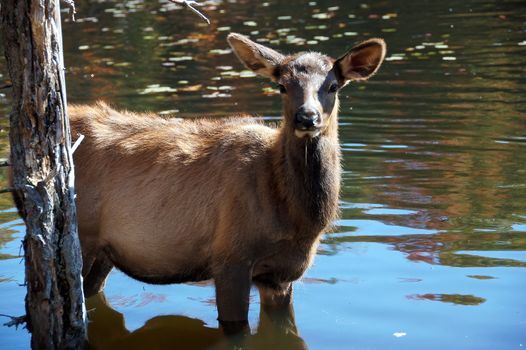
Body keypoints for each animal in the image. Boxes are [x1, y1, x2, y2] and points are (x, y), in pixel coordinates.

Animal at [32, 33, 388, 330]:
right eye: (282, 86)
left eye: (333, 86)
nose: (307, 117)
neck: (298, 220)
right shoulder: (230, 257)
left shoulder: (281, 276)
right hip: (80, 235)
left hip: (105, 253)